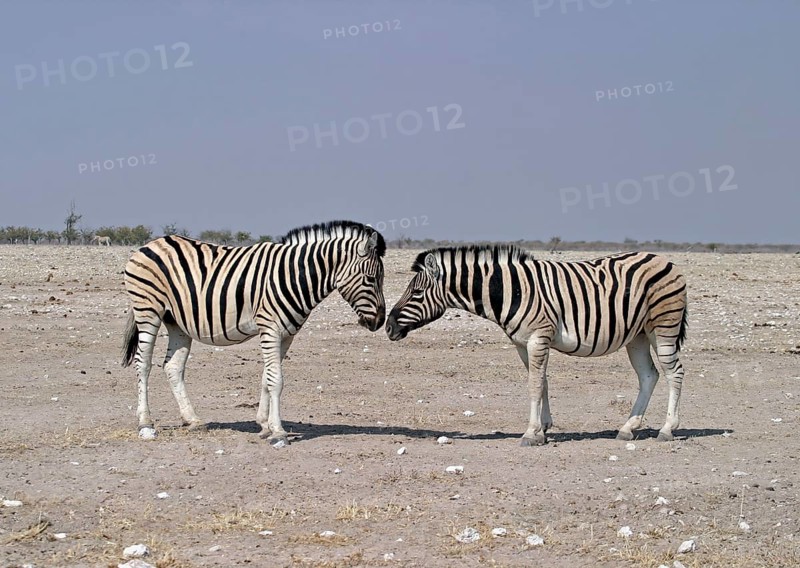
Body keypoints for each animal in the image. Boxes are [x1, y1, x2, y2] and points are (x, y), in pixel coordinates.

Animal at [121, 220, 386, 445]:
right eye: (371, 278)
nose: (380, 321)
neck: (295, 276)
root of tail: (153, 242)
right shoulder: (270, 327)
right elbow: (276, 380)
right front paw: (278, 433)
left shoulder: (287, 334)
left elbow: (267, 376)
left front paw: (264, 425)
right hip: (148, 309)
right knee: (143, 363)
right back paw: (146, 424)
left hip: (176, 321)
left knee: (172, 367)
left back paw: (192, 420)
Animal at [385, 246, 687, 446]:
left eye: (416, 292)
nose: (388, 327)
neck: (508, 290)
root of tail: (664, 259)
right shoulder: (523, 343)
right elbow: (541, 381)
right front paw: (543, 428)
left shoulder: (538, 337)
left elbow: (534, 383)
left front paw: (531, 433)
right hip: (637, 336)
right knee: (649, 375)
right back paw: (628, 427)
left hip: (663, 327)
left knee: (674, 372)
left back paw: (667, 429)